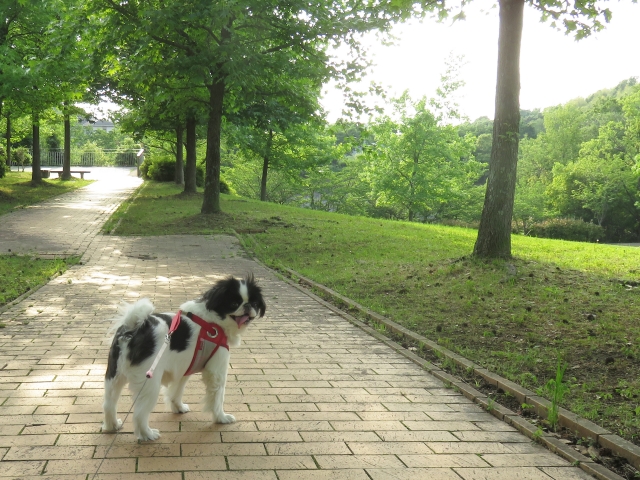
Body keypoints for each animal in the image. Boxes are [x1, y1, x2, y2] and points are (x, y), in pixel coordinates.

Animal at [102, 276, 264, 440]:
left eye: (254, 303)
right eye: (234, 304)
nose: (248, 306)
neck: (213, 321)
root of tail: (134, 328)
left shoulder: (183, 370)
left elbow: (176, 391)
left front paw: (178, 407)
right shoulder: (216, 371)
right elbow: (217, 397)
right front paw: (221, 418)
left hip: (114, 376)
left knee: (109, 404)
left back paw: (112, 426)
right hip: (149, 383)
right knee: (139, 414)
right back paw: (148, 434)